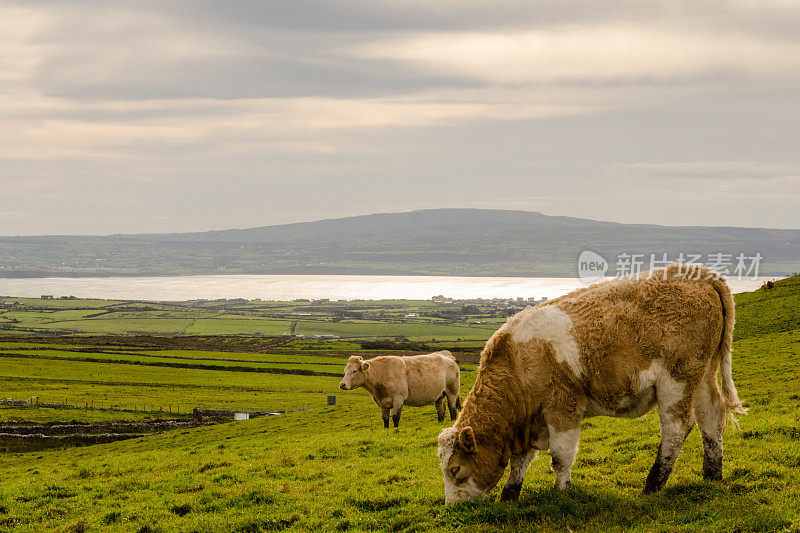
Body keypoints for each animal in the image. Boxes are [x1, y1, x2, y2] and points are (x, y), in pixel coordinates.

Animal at [434, 264, 748, 502]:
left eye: (456, 470)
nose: (453, 507)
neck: (519, 360)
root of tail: (699, 274)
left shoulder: (563, 408)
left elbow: (561, 456)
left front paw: (562, 494)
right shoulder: (528, 422)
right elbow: (520, 462)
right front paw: (509, 496)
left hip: (677, 379)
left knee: (677, 428)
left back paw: (652, 486)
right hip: (703, 373)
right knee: (711, 416)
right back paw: (712, 475)